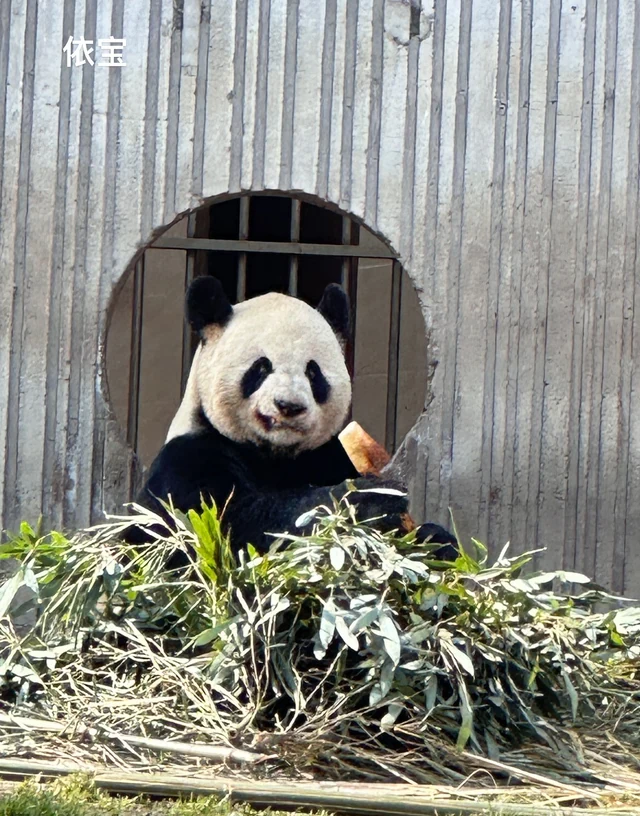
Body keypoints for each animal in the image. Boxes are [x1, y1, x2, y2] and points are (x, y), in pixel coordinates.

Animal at [128, 276, 457, 557]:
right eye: (261, 367)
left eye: (313, 372)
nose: (288, 405)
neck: (275, 455)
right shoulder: (189, 460)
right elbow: (235, 523)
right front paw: (374, 499)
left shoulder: (326, 455)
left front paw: (435, 539)